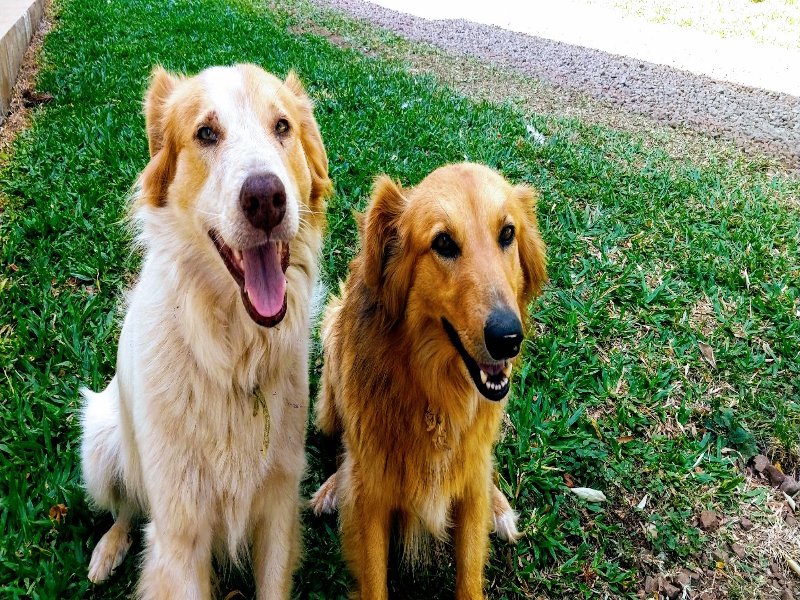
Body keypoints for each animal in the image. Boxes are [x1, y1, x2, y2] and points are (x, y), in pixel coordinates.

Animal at [79, 63, 330, 596]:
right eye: (206, 134)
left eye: (282, 127)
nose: (266, 198)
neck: (232, 358)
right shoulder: (179, 533)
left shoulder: (278, 508)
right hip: (100, 442)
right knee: (128, 507)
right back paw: (109, 548)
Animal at [310, 164, 548, 600]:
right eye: (443, 243)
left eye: (507, 233)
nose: (508, 338)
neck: (435, 394)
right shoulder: (372, 504)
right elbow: (374, 579)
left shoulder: (468, 489)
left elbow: (470, 573)